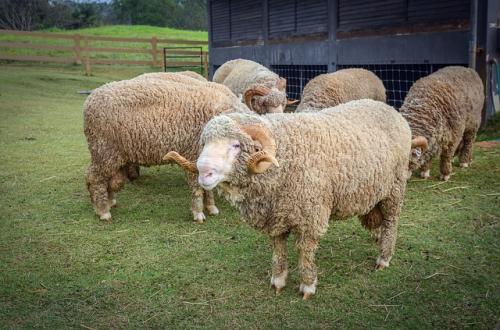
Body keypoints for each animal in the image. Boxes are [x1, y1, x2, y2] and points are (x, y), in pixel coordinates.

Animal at [84, 77, 254, 222]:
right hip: (104, 150)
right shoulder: (193, 154)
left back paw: (108, 201)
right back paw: (103, 211)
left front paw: (211, 207)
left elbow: (208, 187)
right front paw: (198, 213)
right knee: (95, 178)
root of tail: (90, 99)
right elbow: (197, 187)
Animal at [166, 98, 412, 300]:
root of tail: (390, 109)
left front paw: (308, 286)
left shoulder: (310, 217)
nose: (203, 172)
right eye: (204, 144)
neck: (284, 157)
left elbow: (305, 253)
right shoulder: (276, 217)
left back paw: (384, 258)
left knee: (391, 221)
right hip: (374, 192)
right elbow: (278, 250)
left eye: (236, 145)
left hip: (395, 187)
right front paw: (278, 281)